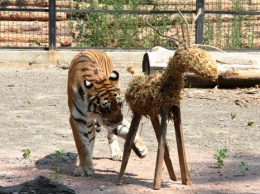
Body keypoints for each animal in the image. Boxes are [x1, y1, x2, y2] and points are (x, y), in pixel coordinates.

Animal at [67, 49, 148, 177]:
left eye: (120, 104)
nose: (118, 120)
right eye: (106, 108)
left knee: (116, 132)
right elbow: (83, 145)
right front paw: (85, 166)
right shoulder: (77, 119)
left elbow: (123, 129)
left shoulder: (109, 119)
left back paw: (120, 152)